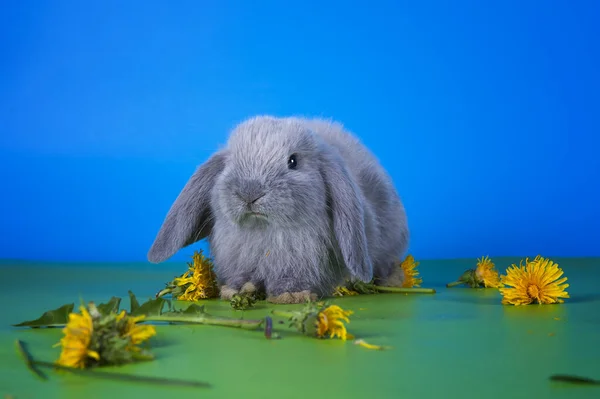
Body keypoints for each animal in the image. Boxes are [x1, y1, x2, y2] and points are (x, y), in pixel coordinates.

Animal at [148, 115, 410, 304]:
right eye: (231, 163)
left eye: (293, 161)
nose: (250, 192)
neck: (265, 229)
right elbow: (241, 278)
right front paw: (238, 291)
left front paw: (291, 296)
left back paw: (394, 280)